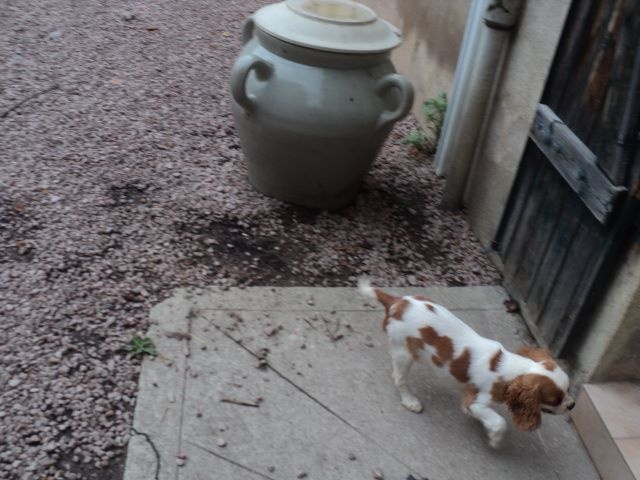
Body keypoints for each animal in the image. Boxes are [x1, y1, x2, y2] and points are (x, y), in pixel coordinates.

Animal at [358, 279, 575, 447]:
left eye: (568, 390)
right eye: (555, 400)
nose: (572, 405)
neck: (511, 369)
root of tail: (397, 302)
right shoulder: (476, 401)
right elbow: (499, 422)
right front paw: (495, 438)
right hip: (404, 353)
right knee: (399, 377)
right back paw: (410, 400)